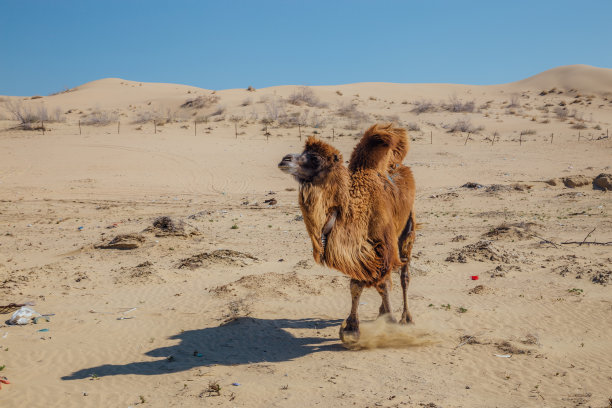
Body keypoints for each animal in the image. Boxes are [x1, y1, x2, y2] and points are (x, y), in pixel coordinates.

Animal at [278, 122, 416, 342]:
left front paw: (390, 322)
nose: (285, 159)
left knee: (404, 274)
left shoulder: (382, 246)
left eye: (315, 158)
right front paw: (351, 329)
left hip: (407, 228)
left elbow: (382, 284)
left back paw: (406, 318)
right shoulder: (360, 252)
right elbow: (357, 284)